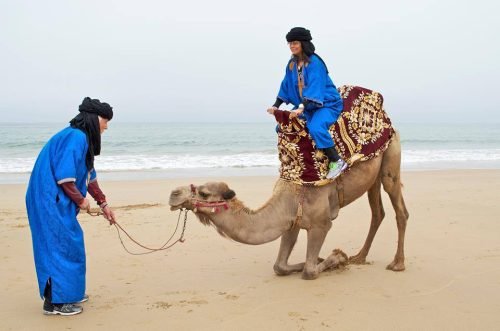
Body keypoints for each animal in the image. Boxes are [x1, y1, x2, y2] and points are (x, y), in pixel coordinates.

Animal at [170, 132, 408, 280]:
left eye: (203, 193)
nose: (173, 194)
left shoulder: (321, 224)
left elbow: (310, 271)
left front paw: (338, 257)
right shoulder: (291, 222)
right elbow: (280, 267)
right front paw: (320, 259)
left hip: (391, 160)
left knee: (400, 210)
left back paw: (397, 264)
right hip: (373, 178)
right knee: (377, 213)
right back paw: (359, 257)